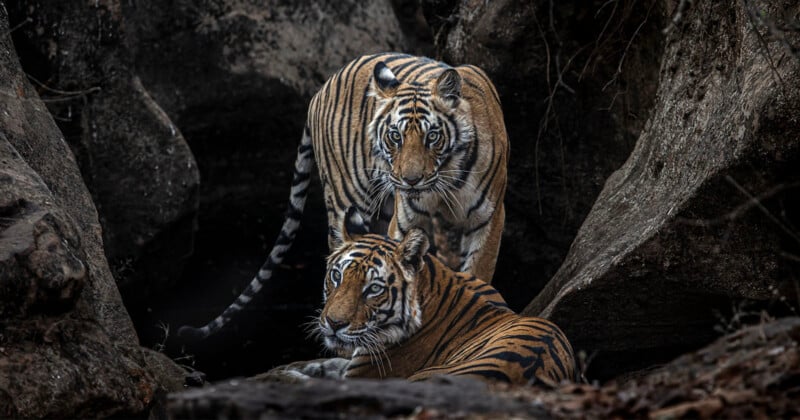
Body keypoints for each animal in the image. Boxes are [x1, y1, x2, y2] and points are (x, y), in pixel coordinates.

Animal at [179, 52, 510, 342]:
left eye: (432, 137)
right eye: (395, 136)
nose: (410, 180)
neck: (445, 184)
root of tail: (323, 85)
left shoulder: (488, 220)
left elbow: (476, 273)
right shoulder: (406, 220)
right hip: (347, 200)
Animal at [274, 225, 576, 386]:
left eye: (374, 289)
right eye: (337, 276)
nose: (334, 324)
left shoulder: (367, 375)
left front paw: (281, 375)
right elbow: (330, 363)